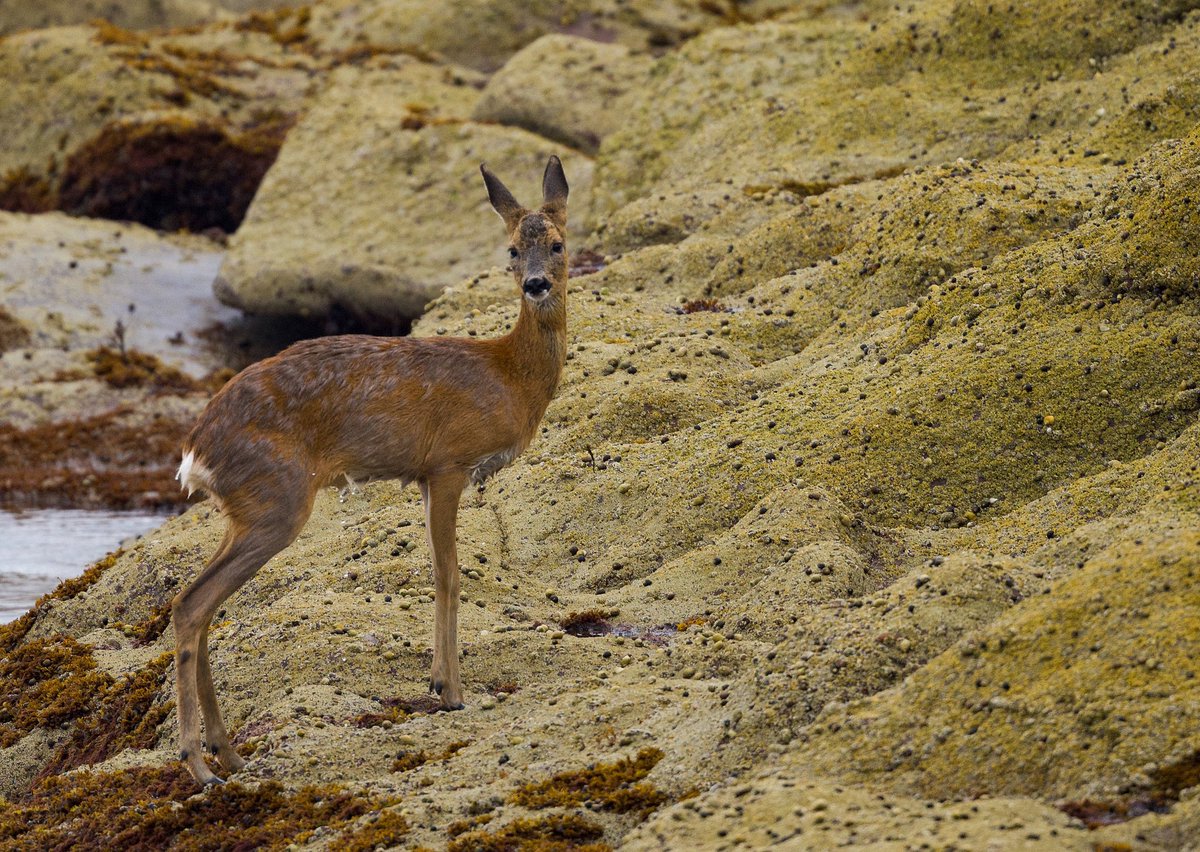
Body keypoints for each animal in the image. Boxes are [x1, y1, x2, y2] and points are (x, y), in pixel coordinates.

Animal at [171, 156, 570, 785]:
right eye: (511, 249)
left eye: (556, 243)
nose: (535, 284)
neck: (508, 376)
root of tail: (196, 449)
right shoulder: (449, 462)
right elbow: (449, 574)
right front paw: (452, 691)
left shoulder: (426, 476)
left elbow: (437, 569)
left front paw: (439, 681)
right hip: (277, 500)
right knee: (192, 605)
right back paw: (198, 764)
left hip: (245, 508)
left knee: (200, 605)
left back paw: (228, 752)